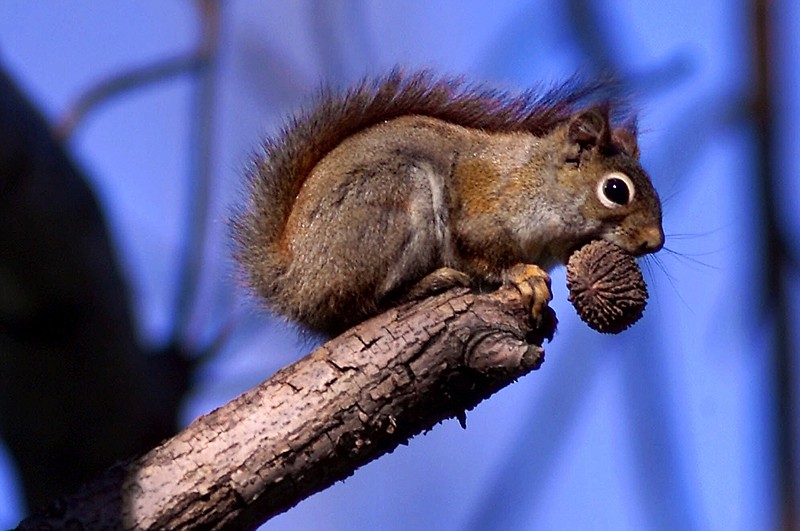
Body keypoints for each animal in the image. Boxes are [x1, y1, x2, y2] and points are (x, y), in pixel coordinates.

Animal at [234, 70, 664, 336]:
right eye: (615, 190)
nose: (655, 242)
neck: (537, 181)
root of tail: (294, 280)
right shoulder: (482, 211)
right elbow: (484, 251)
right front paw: (521, 275)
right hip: (393, 205)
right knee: (361, 306)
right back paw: (432, 282)